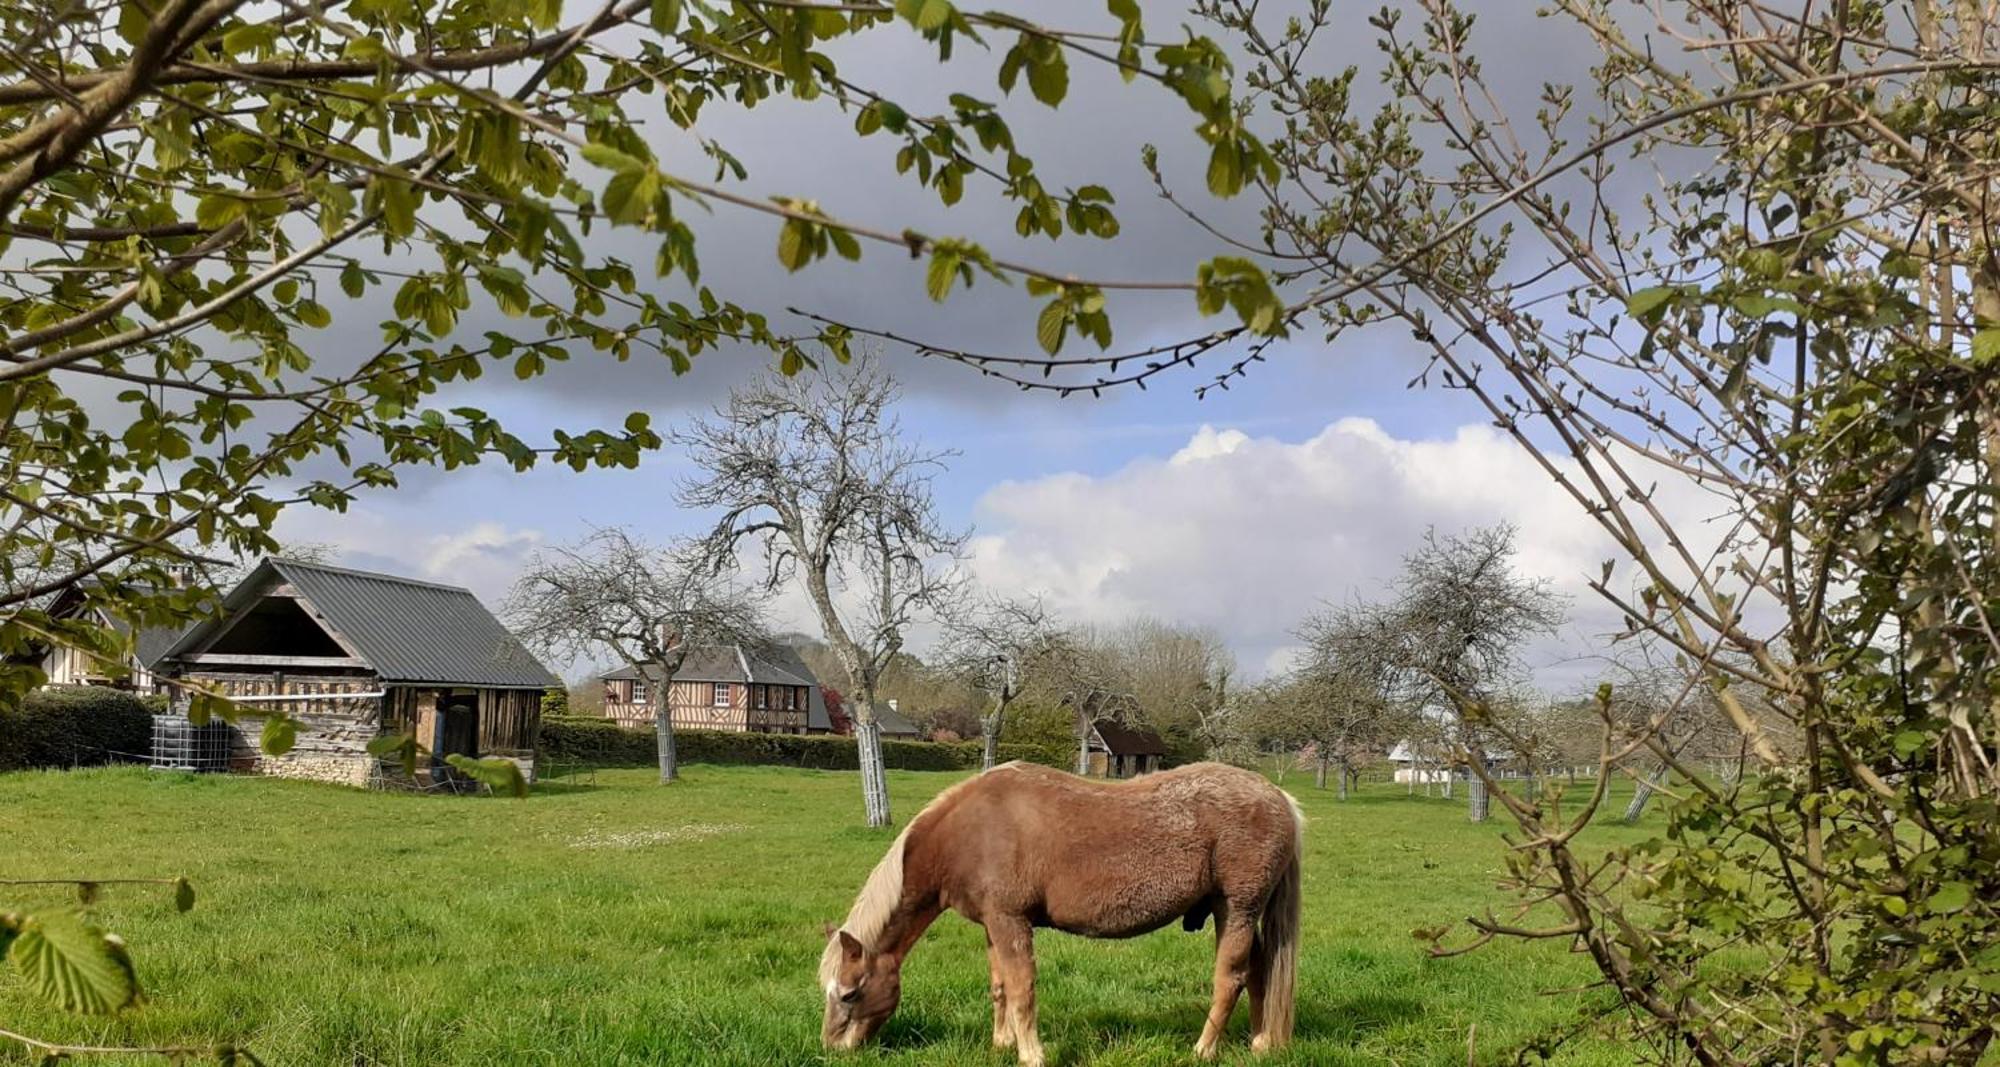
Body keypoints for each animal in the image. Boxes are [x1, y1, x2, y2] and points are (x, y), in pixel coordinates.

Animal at [820, 767, 1304, 1063]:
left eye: (849, 993)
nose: (831, 1047)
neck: (968, 833)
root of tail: (1279, 798)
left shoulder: (1011, 922)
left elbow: (1022, 989)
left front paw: (1030, 1054)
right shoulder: (993, 925)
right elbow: (1000, 986)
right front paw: (1003, 1043)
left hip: (1236, 909)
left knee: (1231, 979)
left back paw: (1203, 1050)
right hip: (1242, 915)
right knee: (1260, 972)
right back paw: (1261, 1041)